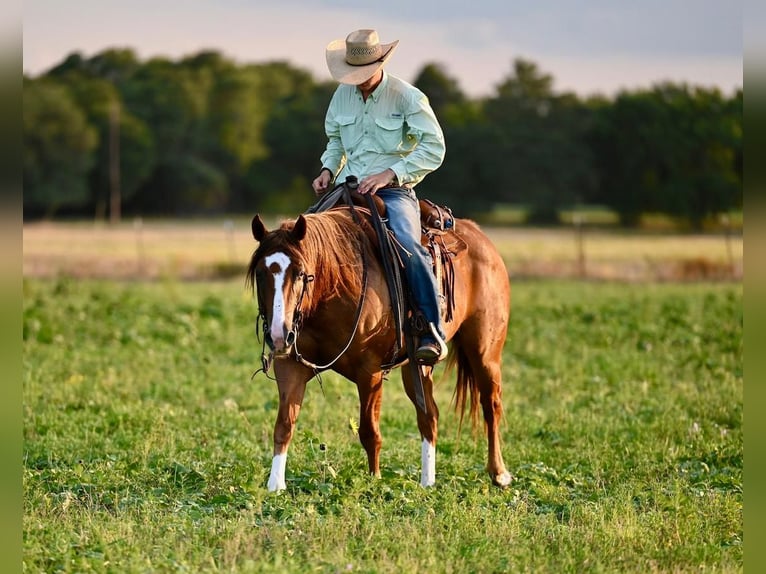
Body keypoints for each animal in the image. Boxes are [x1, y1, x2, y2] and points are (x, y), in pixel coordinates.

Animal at [249, 205, 512, 492]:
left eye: (299, 273)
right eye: (260, 273)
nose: (278, 335)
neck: (334, 288)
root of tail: (479, 236)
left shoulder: (370, 371)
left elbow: (369, 431)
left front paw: (374, 480)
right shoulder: (290, 365)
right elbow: (284, 425)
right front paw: (275, 486)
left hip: (484, 352)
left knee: (491, 405)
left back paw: (499, 473)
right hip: (417, 367)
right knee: (429, 416)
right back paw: (427, 482)